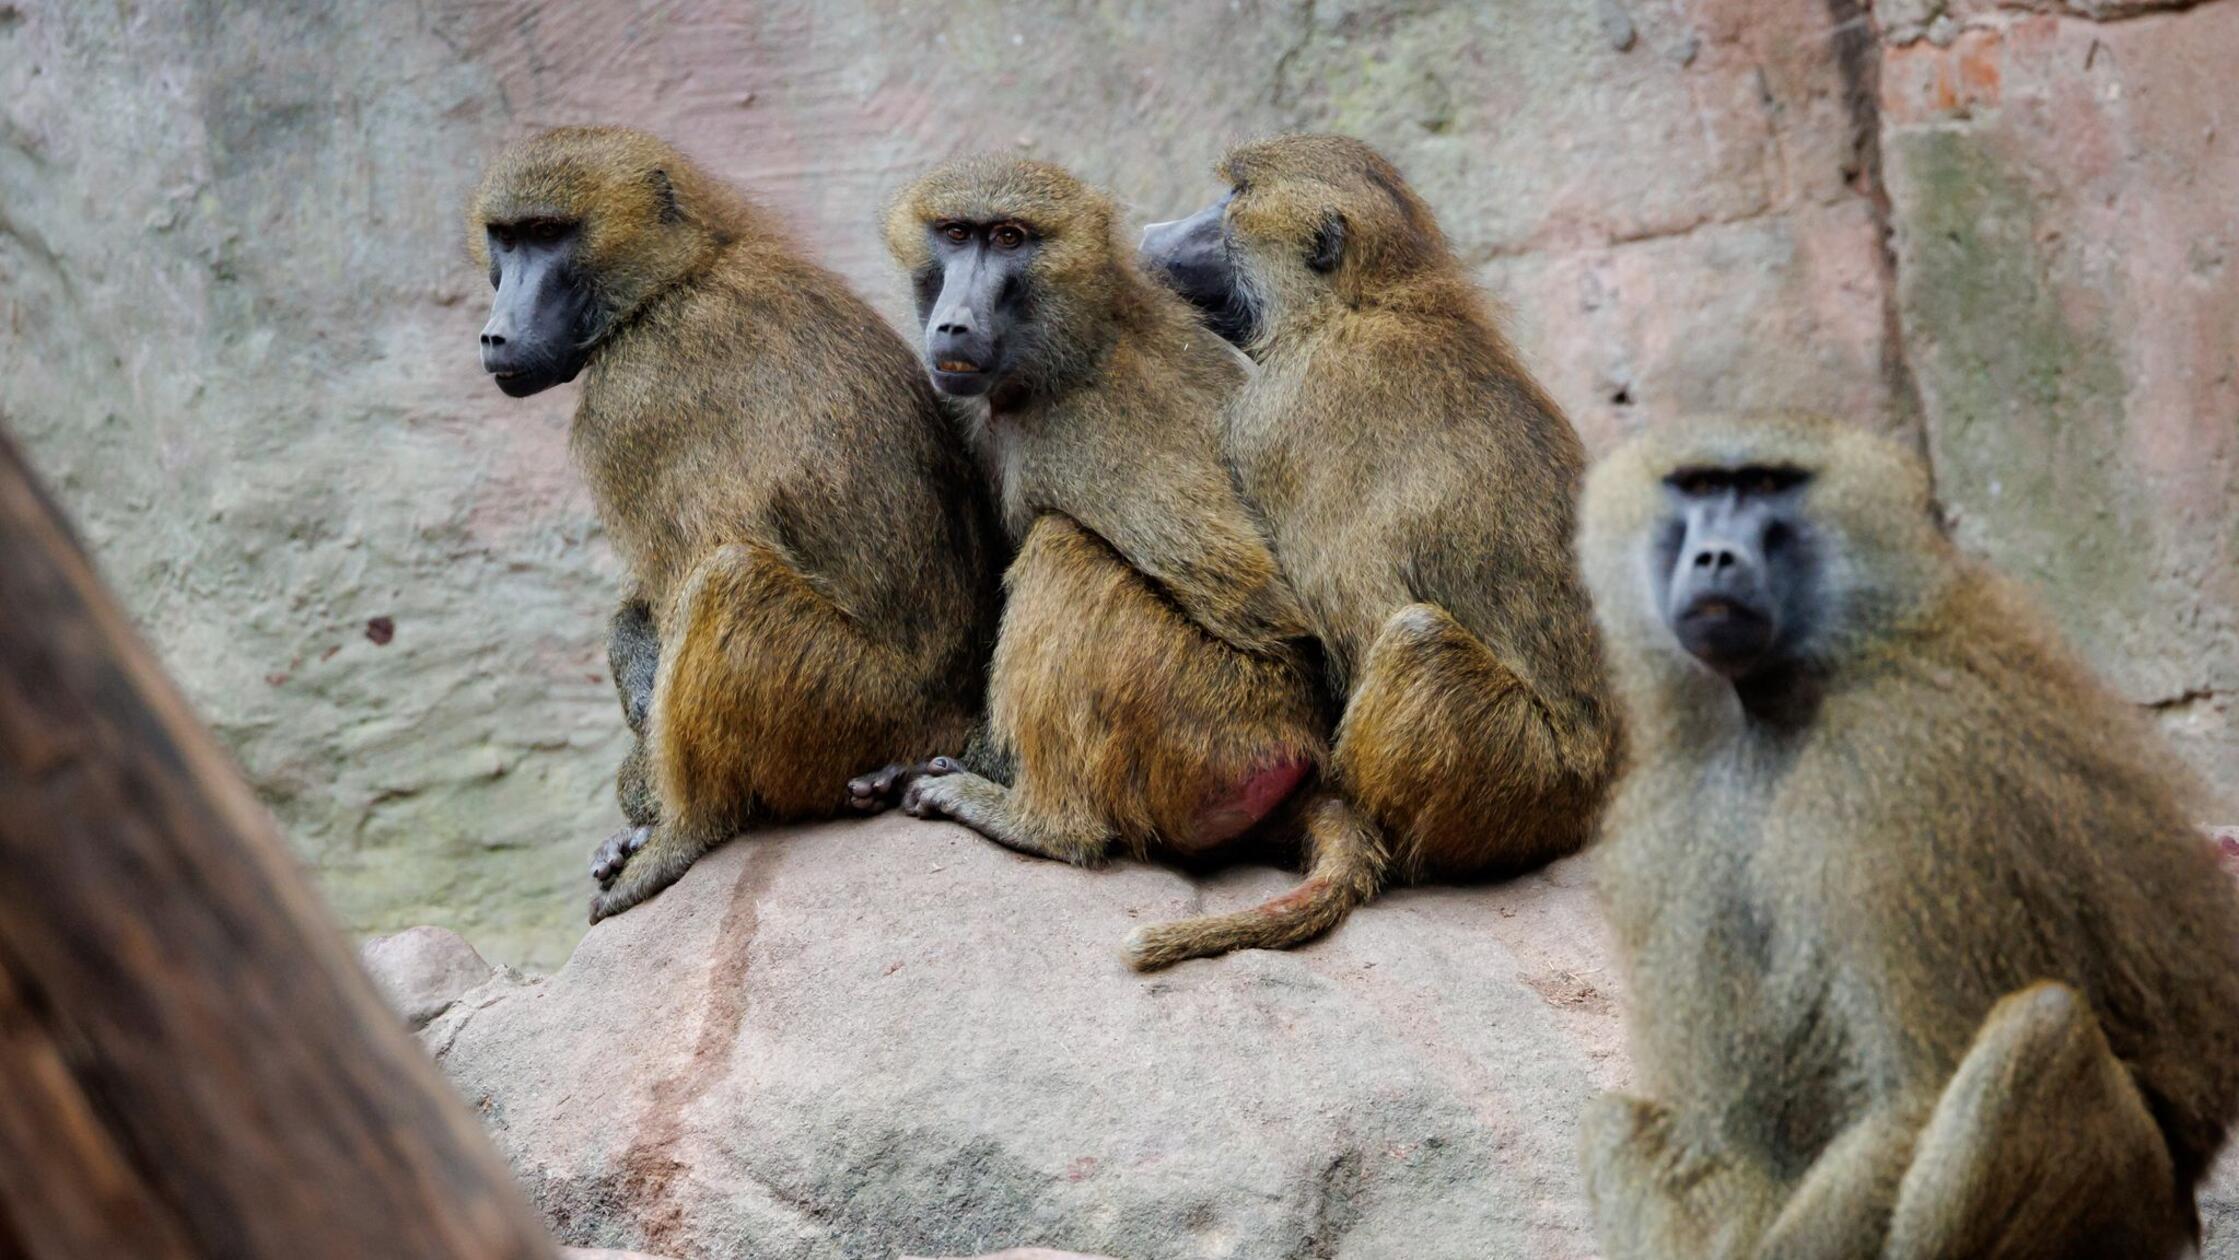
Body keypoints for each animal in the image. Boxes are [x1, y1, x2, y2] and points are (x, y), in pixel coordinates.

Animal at [469, 127, 1003, 923]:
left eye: (548, 234)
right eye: (506, 238)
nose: (496, 335)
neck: (679, 277)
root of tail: (951, 719)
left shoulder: (630, 402)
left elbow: (683, 575)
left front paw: (644, 794)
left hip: (855, 709)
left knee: (728, 579)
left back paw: (684, 832)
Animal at [847, 155, 1386, 969]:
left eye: (1009, 239)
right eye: (956, 234)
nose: (954, 322)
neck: (1073, 343)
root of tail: (1301, 760)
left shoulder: (1091, 432)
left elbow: (1265, 608)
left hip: (1215, 734)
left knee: (1064, 550)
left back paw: (1039, 823)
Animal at [1134, 135, 1622, 963]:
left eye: (1233, 199)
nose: (1147, 234)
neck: (1363, 300)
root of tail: (1588, 793)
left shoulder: (1272, 417)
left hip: (1519, 780)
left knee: (1414, 637)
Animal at [1572, 412, 2239, 1259]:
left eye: (1765, 484)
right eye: (1696, 485)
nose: (1714, 556)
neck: (1784, 700)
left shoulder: (1891, 775)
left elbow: (1912, 1095)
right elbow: (1719, 1138)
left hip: (2133, 1208)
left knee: (2036, 1036)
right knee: (1610, 1126)